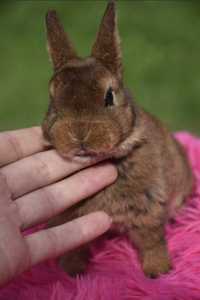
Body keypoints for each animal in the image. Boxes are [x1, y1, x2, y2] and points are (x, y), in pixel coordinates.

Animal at [42, 0, 194, 278]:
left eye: (109, 96)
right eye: (53, 100)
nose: (79, 134)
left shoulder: (147, 207)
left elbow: (152, 240)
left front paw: (158, 271)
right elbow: (75, 246)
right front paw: (72, 271)